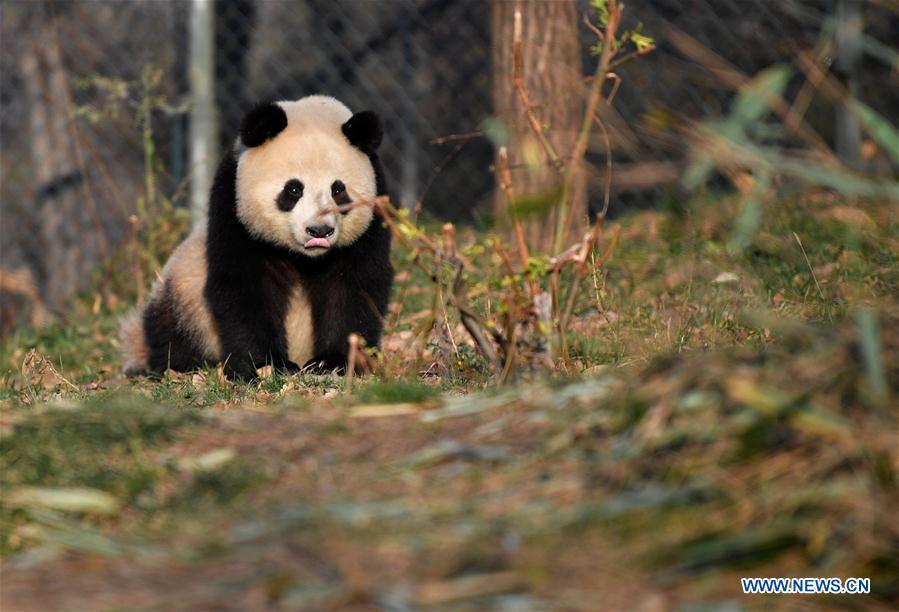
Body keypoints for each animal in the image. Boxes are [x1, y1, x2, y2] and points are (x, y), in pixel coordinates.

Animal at [118, 96, 392, 380]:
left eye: (338, 190)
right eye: (294, 189)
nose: (319, 231)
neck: (305, 258)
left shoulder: (374, 215)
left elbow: (352, 285)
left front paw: (334, 362)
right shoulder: (233, 205)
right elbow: (246, 285)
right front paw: (266, 365)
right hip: (184, 295)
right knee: (168, 332)